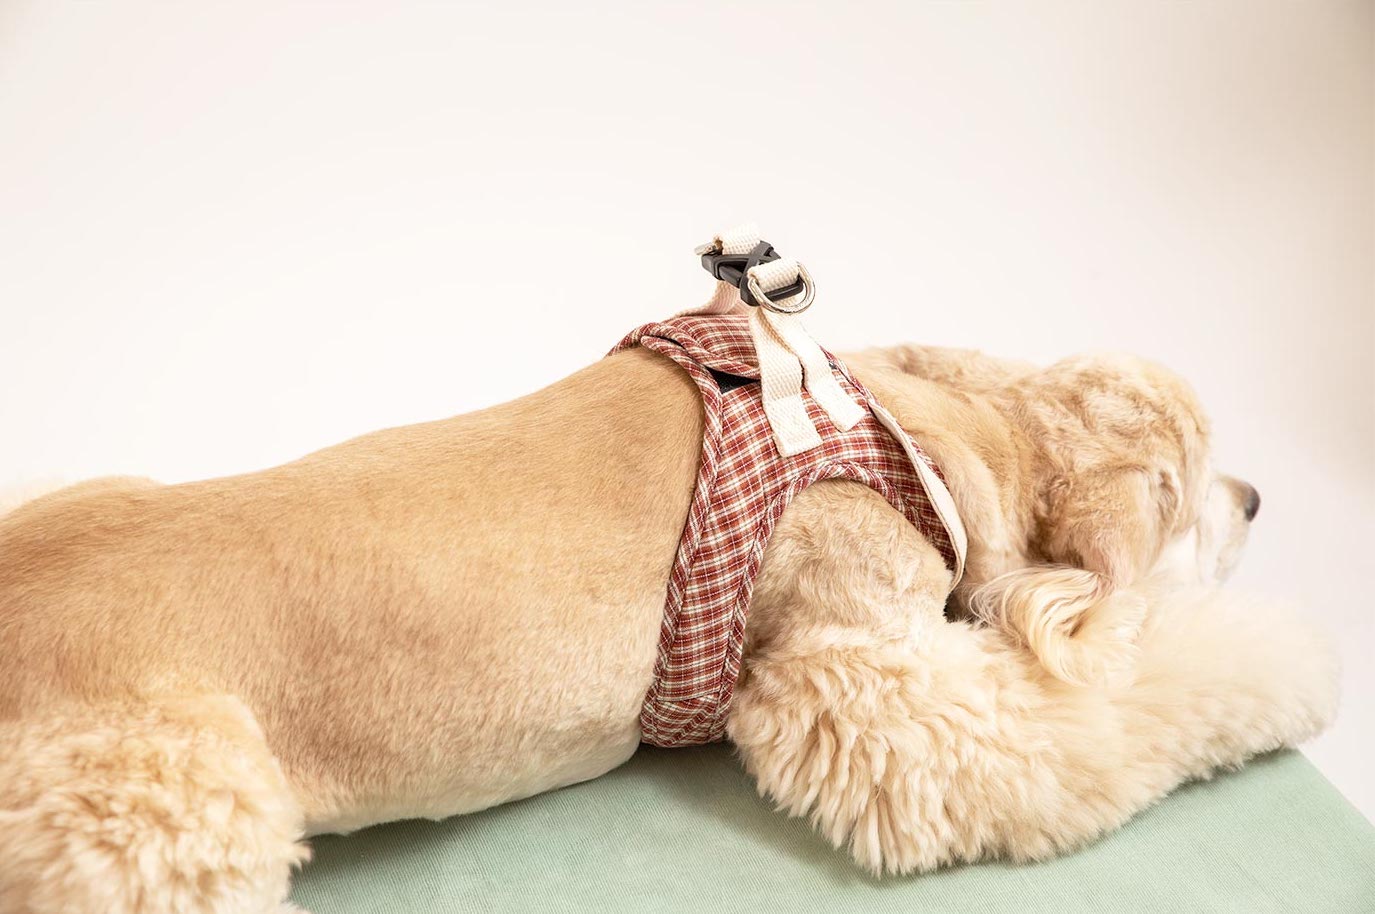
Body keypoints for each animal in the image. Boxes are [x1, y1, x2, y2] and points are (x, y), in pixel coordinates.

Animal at [0, 336, 1336, 912]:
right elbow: (1127, 698)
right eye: (1185, 488)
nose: (1259, 495)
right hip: (182, 813)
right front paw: (1292, 661)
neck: (930, 426)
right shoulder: (875, 682)